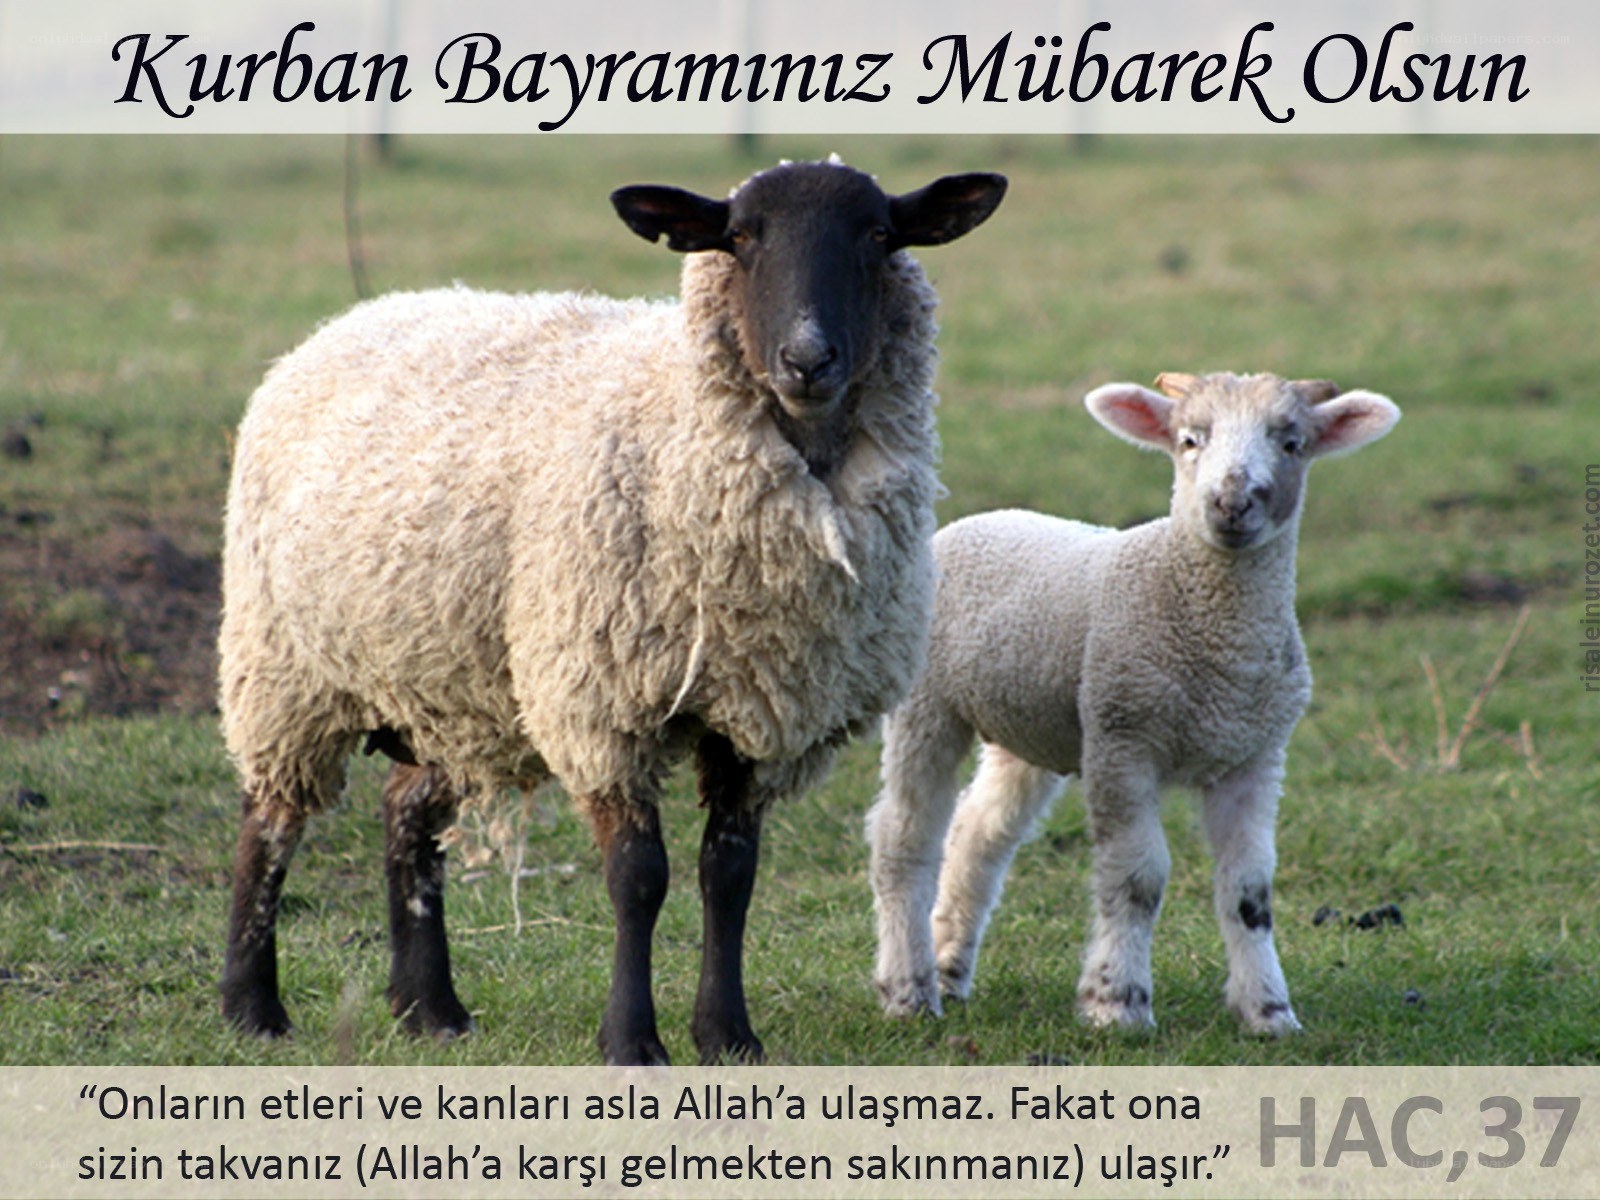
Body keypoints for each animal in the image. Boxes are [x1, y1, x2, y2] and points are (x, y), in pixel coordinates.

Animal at [218, 158, 1007, 1065]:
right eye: (740, 237)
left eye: (879, 235)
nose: (807, 359)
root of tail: (350, 319)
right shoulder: (605, 705)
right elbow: (639, 877)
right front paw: (633, 1042)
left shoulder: (759, 714)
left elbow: (729, 875)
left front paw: (728, 1036)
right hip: (285, 668)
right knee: (270, 825)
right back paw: (253, 1007)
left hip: (453, 684)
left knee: (407, 818)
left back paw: (430, 1009)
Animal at [867, 371, 1399, 1035]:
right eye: (1190, 440)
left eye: (1292, 443)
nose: (1231, 503)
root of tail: (971, 522)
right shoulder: (1123, 739)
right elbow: (1137, 879)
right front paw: (1116, 1002)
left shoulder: (1254, 757)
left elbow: (1249, 890)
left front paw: (1269, 1010)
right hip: (926, 704)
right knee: (904, 836)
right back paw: (908, 989)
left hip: (1031, 725)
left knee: (978, 832)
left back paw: (948, 966)